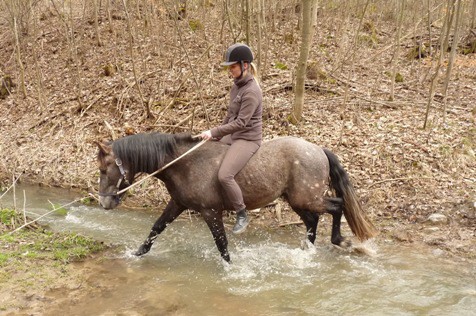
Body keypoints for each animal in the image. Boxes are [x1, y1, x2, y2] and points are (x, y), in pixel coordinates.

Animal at [97, 131, 380, 262]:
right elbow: (156, 228)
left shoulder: (210, 212)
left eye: (103, 169)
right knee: (313, 221)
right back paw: (307, 251)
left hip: (307, 198)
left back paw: (339, 240)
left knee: (337, 206)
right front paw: (136, 254)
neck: (185, 163)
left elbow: (222, 244)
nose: (104, 202)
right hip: (296, 199)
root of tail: (318, 149)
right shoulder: (177, 204)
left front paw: (231, 269)